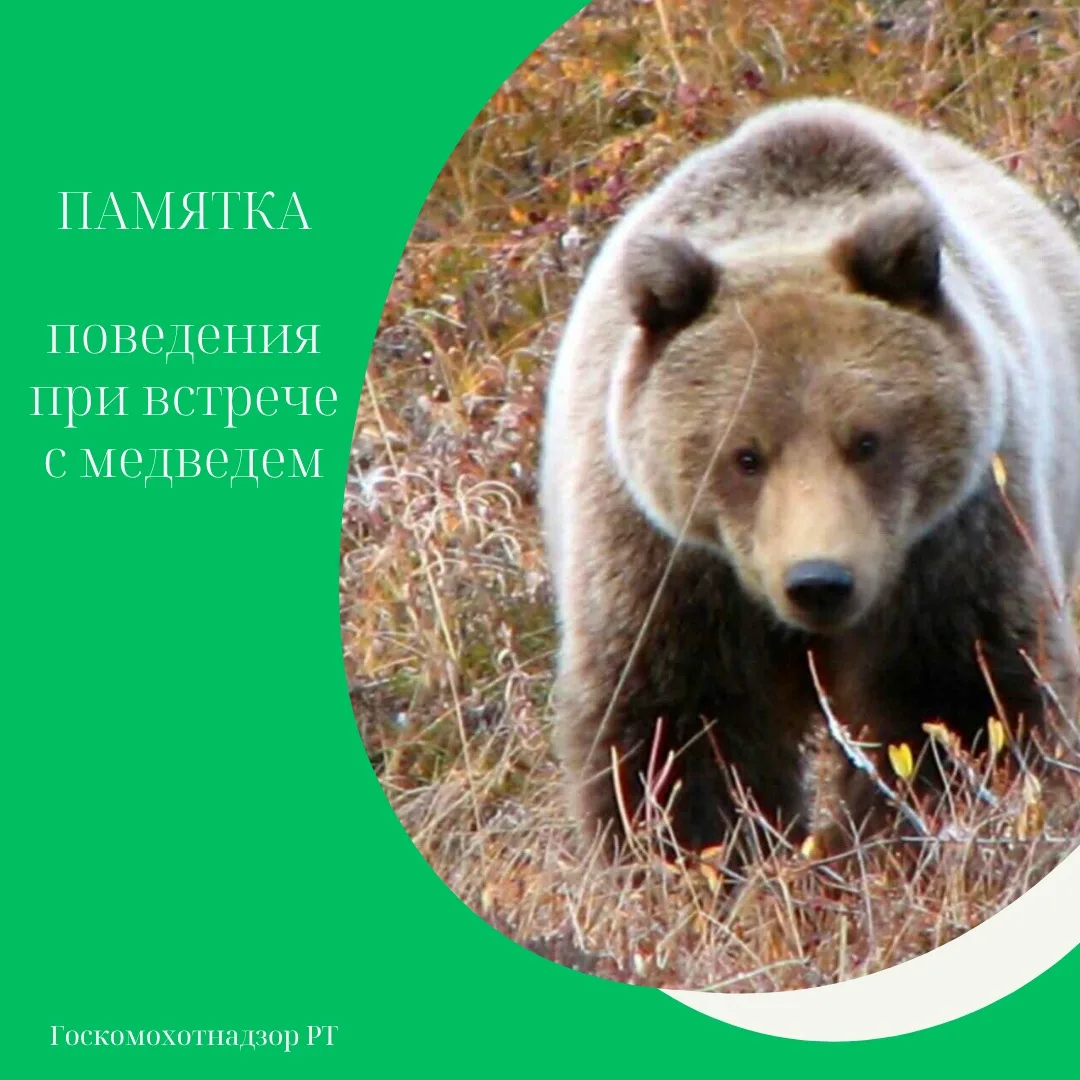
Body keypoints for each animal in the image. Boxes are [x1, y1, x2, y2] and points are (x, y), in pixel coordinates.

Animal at [539, 98, 1080, 862]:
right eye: (745, 455)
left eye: (868, 440)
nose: (819, 580)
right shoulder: (669, 566)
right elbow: (678, 734)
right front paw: (694, 855)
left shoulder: (952, 544)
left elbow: (959, 703)